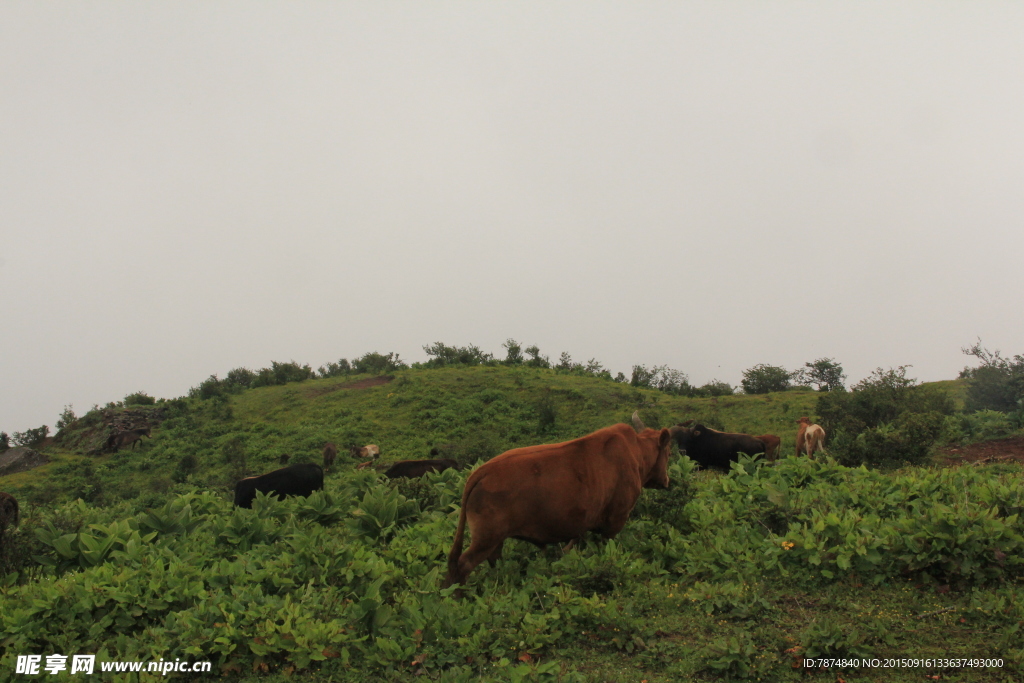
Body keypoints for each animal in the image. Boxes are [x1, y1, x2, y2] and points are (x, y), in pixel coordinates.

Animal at [442, 413, 671, 589]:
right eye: (668, 454)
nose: (666, 481)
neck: (636, 454)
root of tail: (481, 471)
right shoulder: (615, 520)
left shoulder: (582, 524)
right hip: (486, 537)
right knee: (463, 564)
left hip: (496, 537)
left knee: (492, 558)